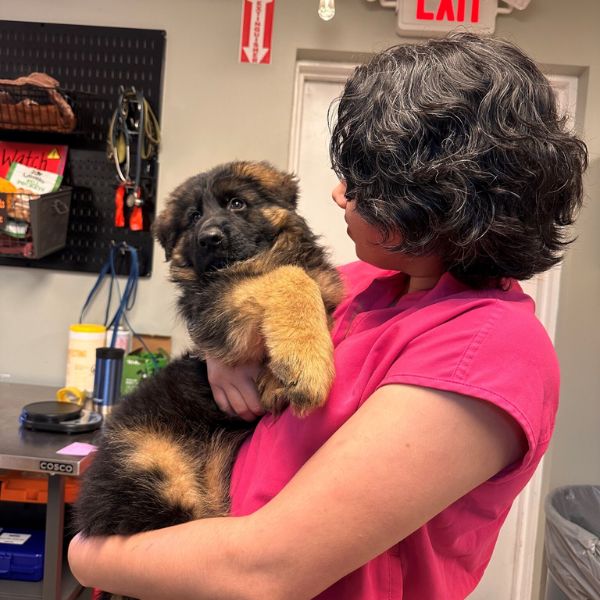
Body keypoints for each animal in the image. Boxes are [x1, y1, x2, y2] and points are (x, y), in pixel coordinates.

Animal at [73, 162, 344, 592]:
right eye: (194, 216)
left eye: (237, 203)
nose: (210, 238)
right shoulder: (217, 304)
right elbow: (286, 278)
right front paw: (306, 364)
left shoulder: (322, 290)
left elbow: (309, 295)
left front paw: (281, 372)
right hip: (153, 473)